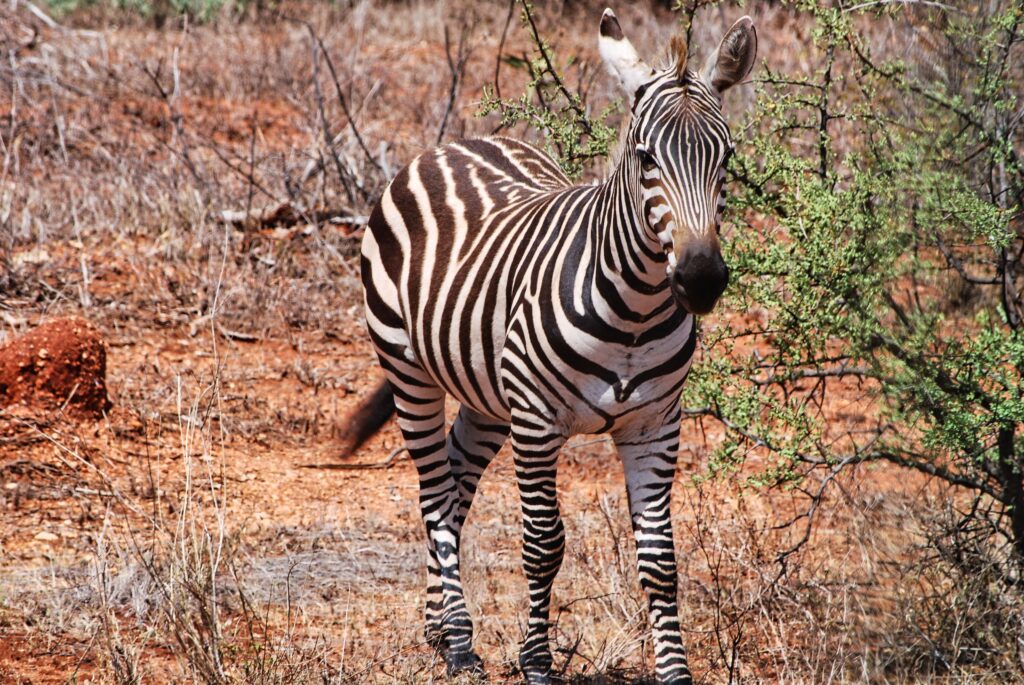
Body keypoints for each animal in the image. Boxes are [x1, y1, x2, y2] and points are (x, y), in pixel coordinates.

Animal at [348, 9, 757, 683]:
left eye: (726, 156)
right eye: (646, 157)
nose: (701, 278)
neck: (635, 312)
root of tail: (456, 143)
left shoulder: (654, 425)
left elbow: (660, 561)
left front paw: (675, 671)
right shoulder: (537, 423)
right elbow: (543, 545)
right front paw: (536, 662)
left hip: (488, 393)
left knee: (454, 483)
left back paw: (440, 628)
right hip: (409, 367)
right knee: (432, 490)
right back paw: (459, 642)